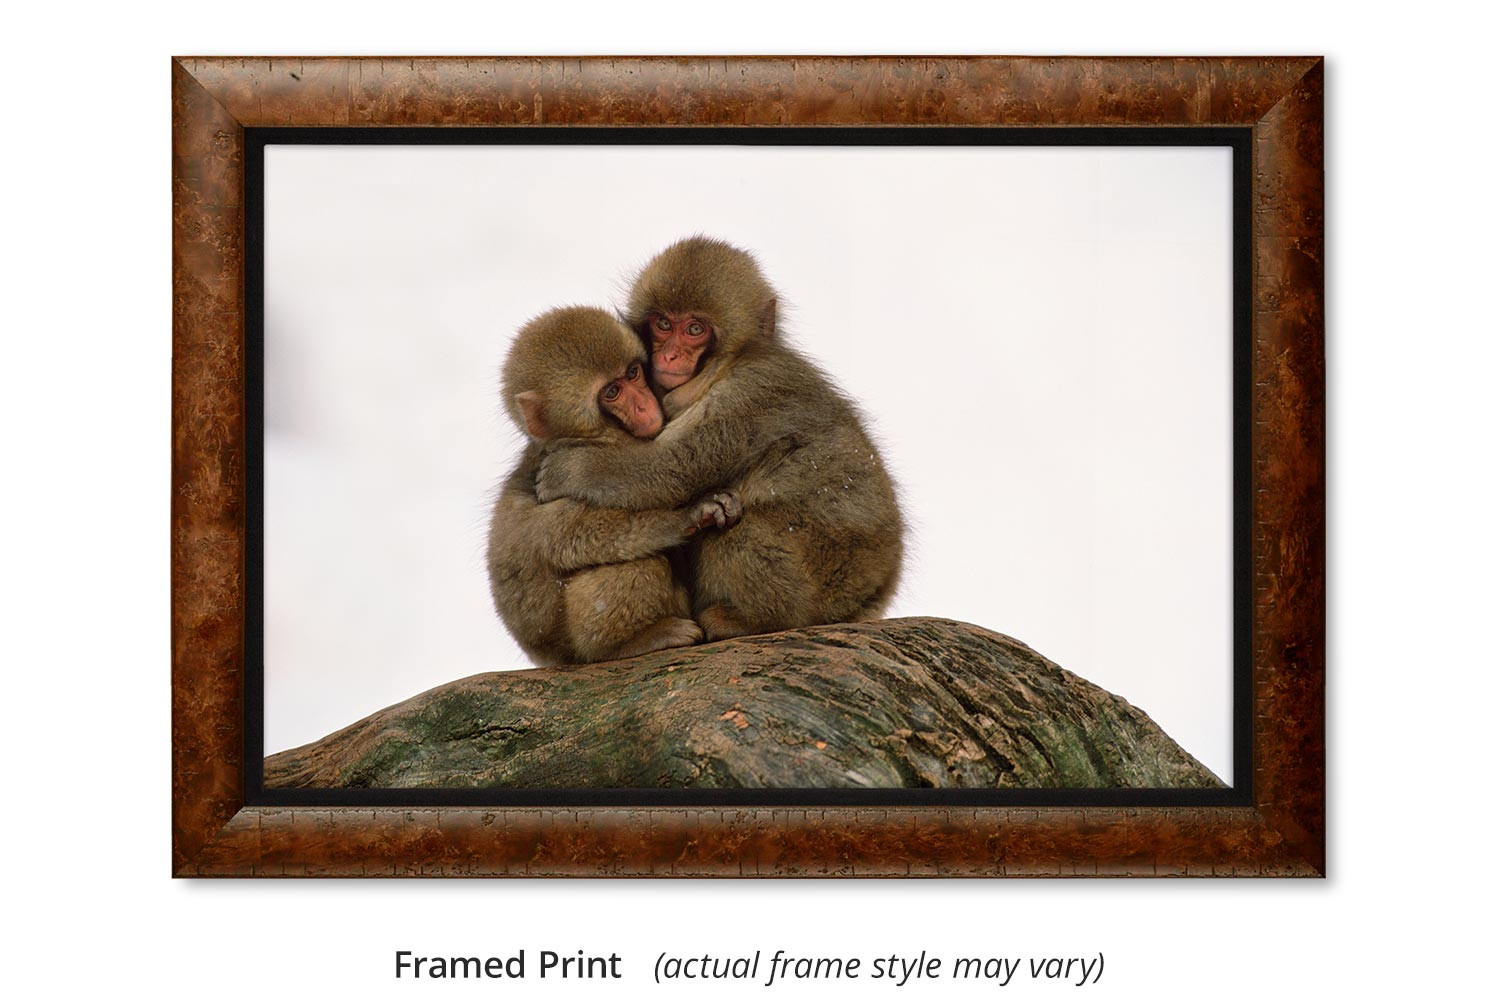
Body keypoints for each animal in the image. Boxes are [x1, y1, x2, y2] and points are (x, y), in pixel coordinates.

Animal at [486, 305, 742, 665]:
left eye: (633, 373)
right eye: (611, 393)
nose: (644, 405)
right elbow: (565, 537)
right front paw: (690, 514)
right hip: (574, 646)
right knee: (630, 557)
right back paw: (631, 642)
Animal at [535, 237, 904, 642]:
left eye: (695, 329)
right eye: (663, 324)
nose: (669, 355)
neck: (723, 367)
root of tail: (880, 588)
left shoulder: (751, 392)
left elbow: (672, 469)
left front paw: (571, 469)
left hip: (833, 575)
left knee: (737, 527)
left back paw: (754, 621)